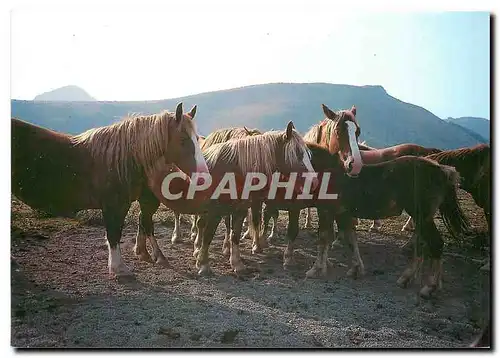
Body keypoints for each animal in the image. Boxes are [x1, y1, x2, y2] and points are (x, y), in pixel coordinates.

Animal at [11, 102, 209, 278]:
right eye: (183, 140)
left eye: (197, 138)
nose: (204, 177)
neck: (120, 159)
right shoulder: (114, 206)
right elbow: (114, 234)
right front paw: (119, 268)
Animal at [191, 121, 316, 276]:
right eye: (298, 154)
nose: (315, 182)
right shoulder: (216, 211)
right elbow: (209, 235)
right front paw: (204, 265)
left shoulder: (240, 209)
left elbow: (235, 234)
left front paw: (237, 263)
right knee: (201, 225)